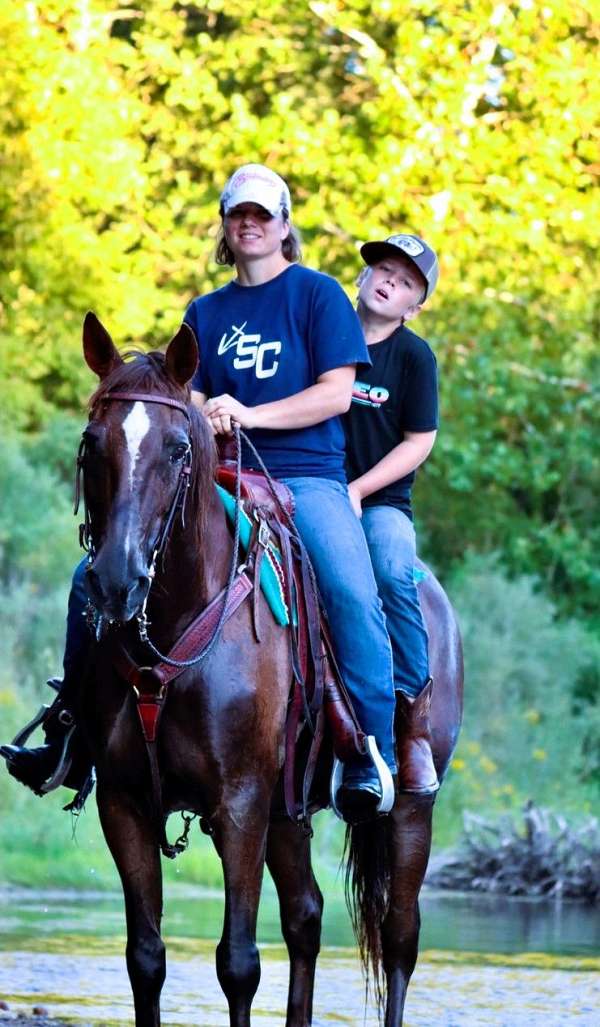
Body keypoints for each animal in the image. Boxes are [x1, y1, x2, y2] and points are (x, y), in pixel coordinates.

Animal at [72, 312, 462, 1027]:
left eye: (178, 449)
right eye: (93, 443)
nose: (116, 581)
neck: (172, 632)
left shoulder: (241, 805)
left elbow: (238, 963)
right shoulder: (125, 803)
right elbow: (145, 959)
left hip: (410, 804)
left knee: (400, 936)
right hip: (289, 812)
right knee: (306, 918)